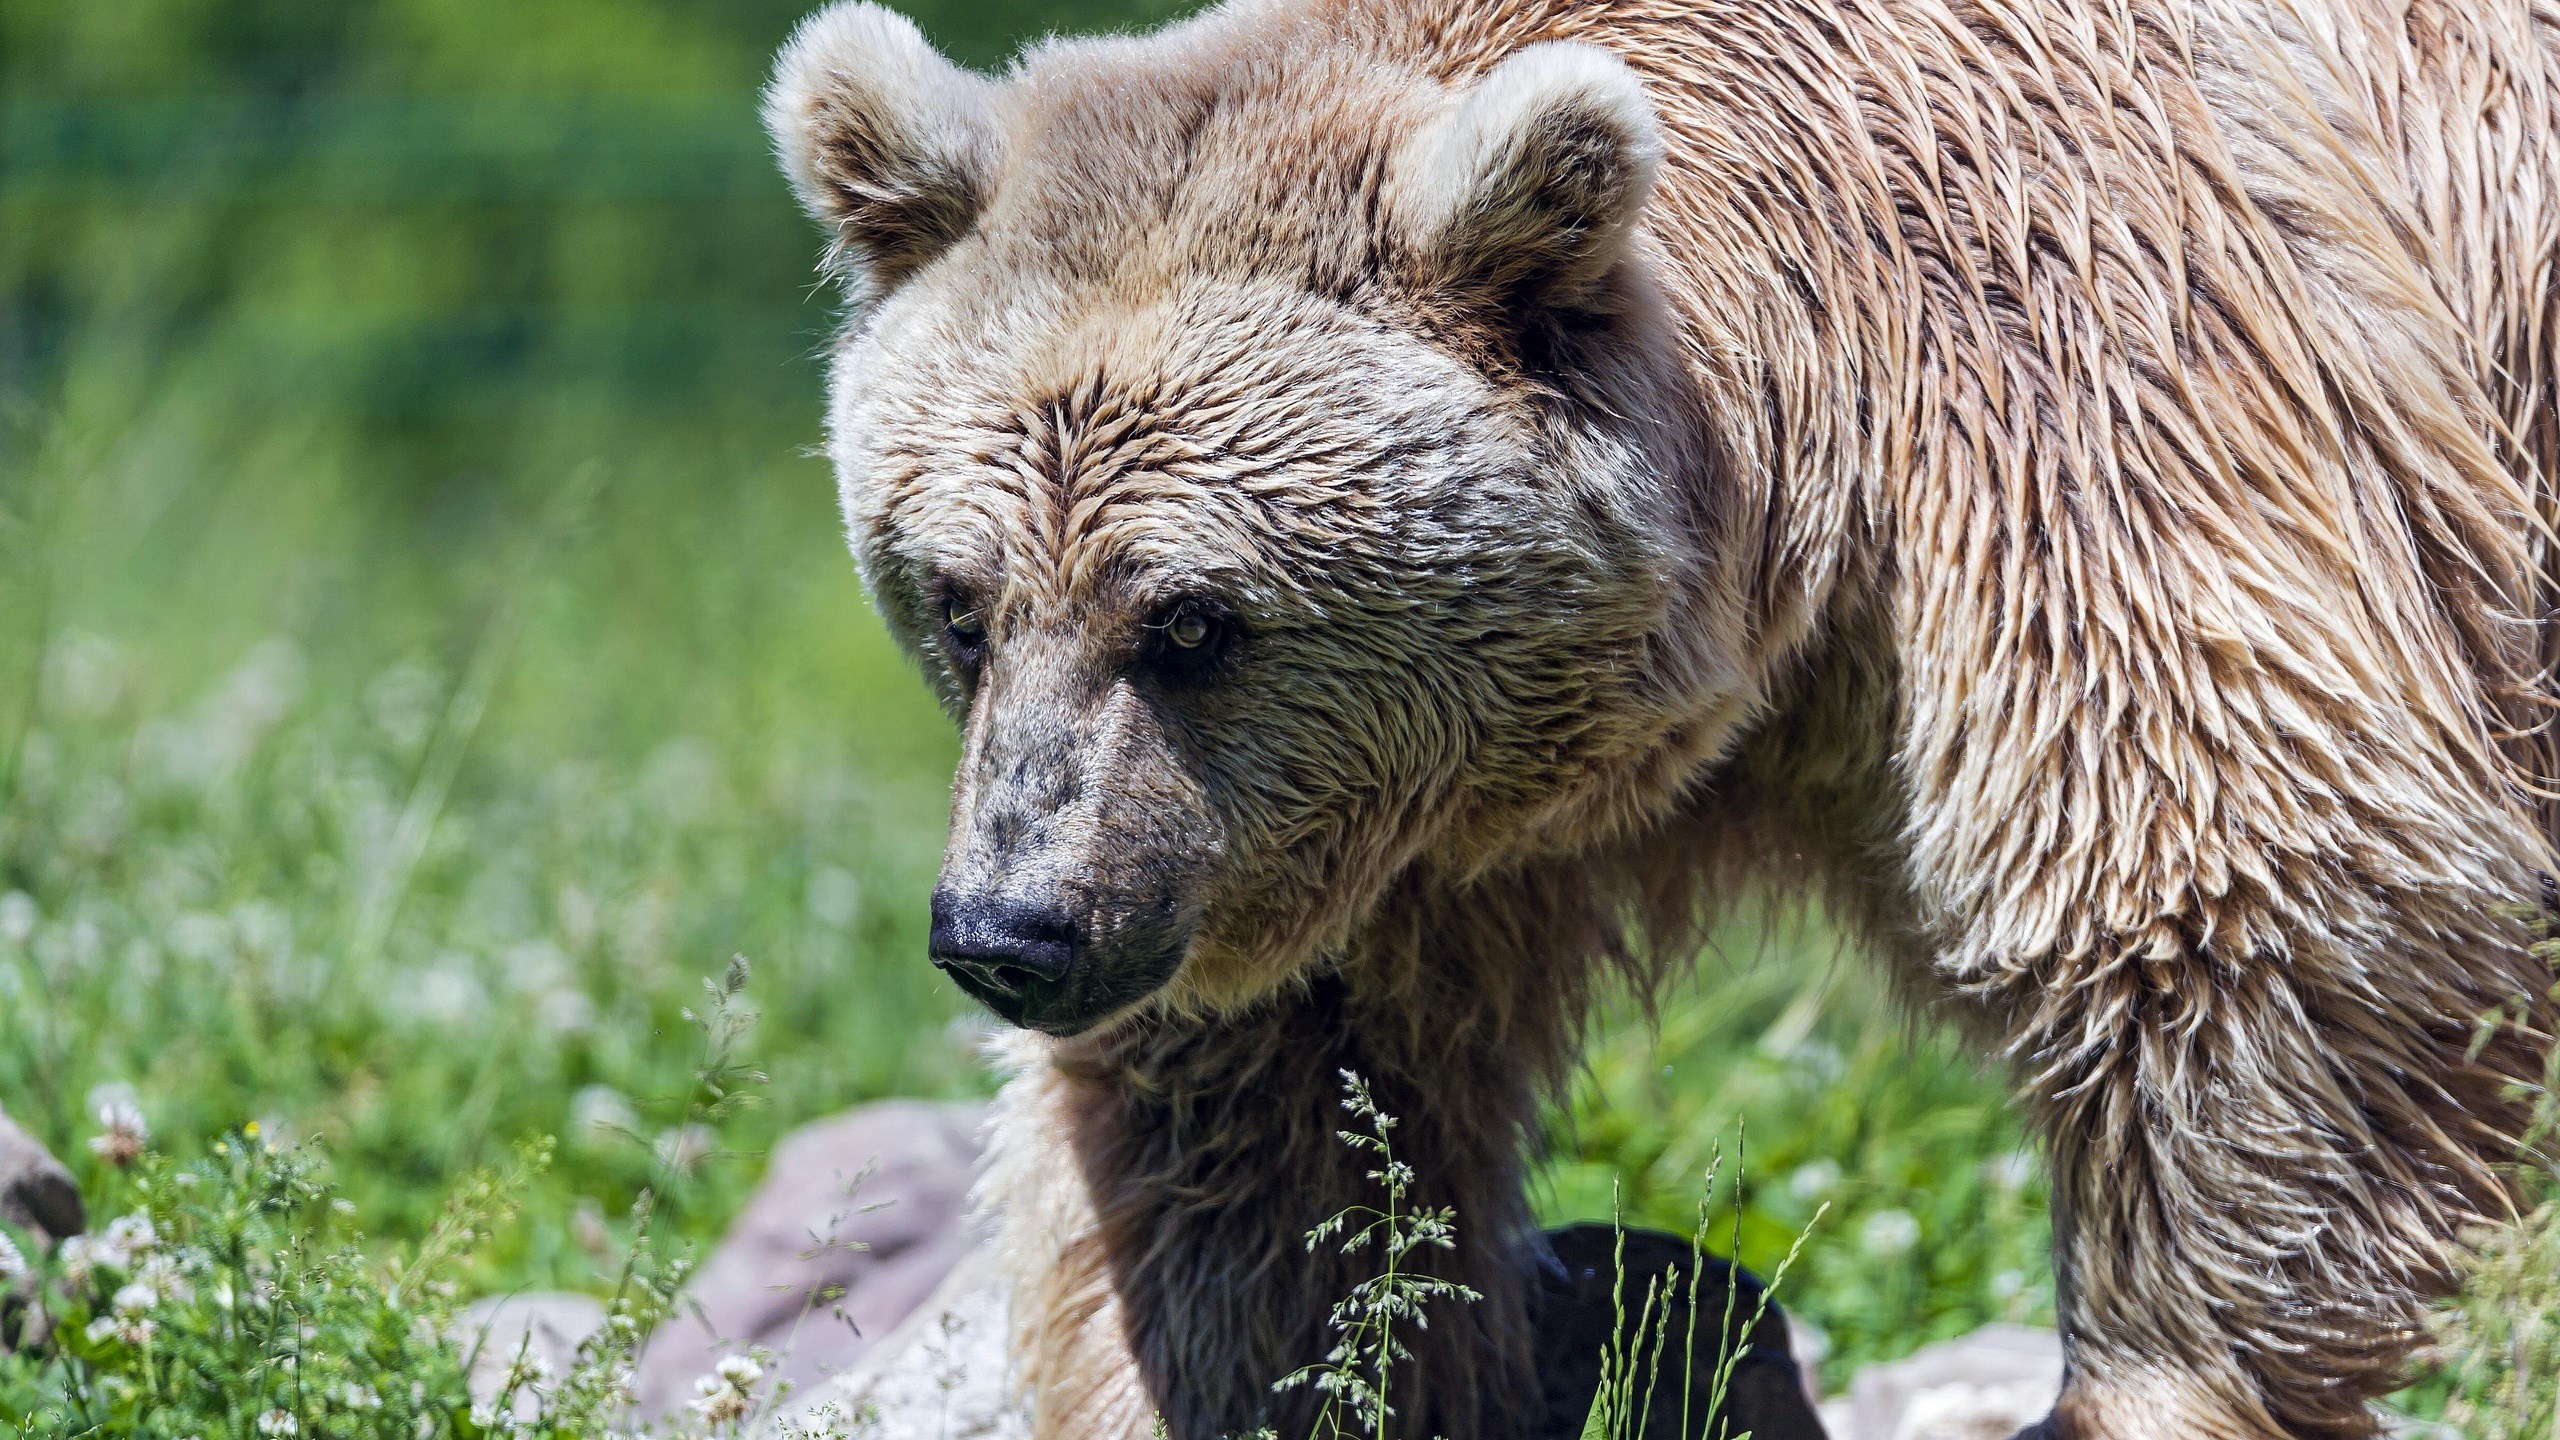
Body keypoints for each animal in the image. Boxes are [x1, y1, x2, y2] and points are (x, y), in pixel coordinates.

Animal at [761, 1, 2560, 1436]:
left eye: (1193, 619)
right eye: (959, 600)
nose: (1010, 930)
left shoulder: (2106, 398)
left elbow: (2241, 916)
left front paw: (2146, 1389)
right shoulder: (1379, 840)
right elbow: (1275, 1148)